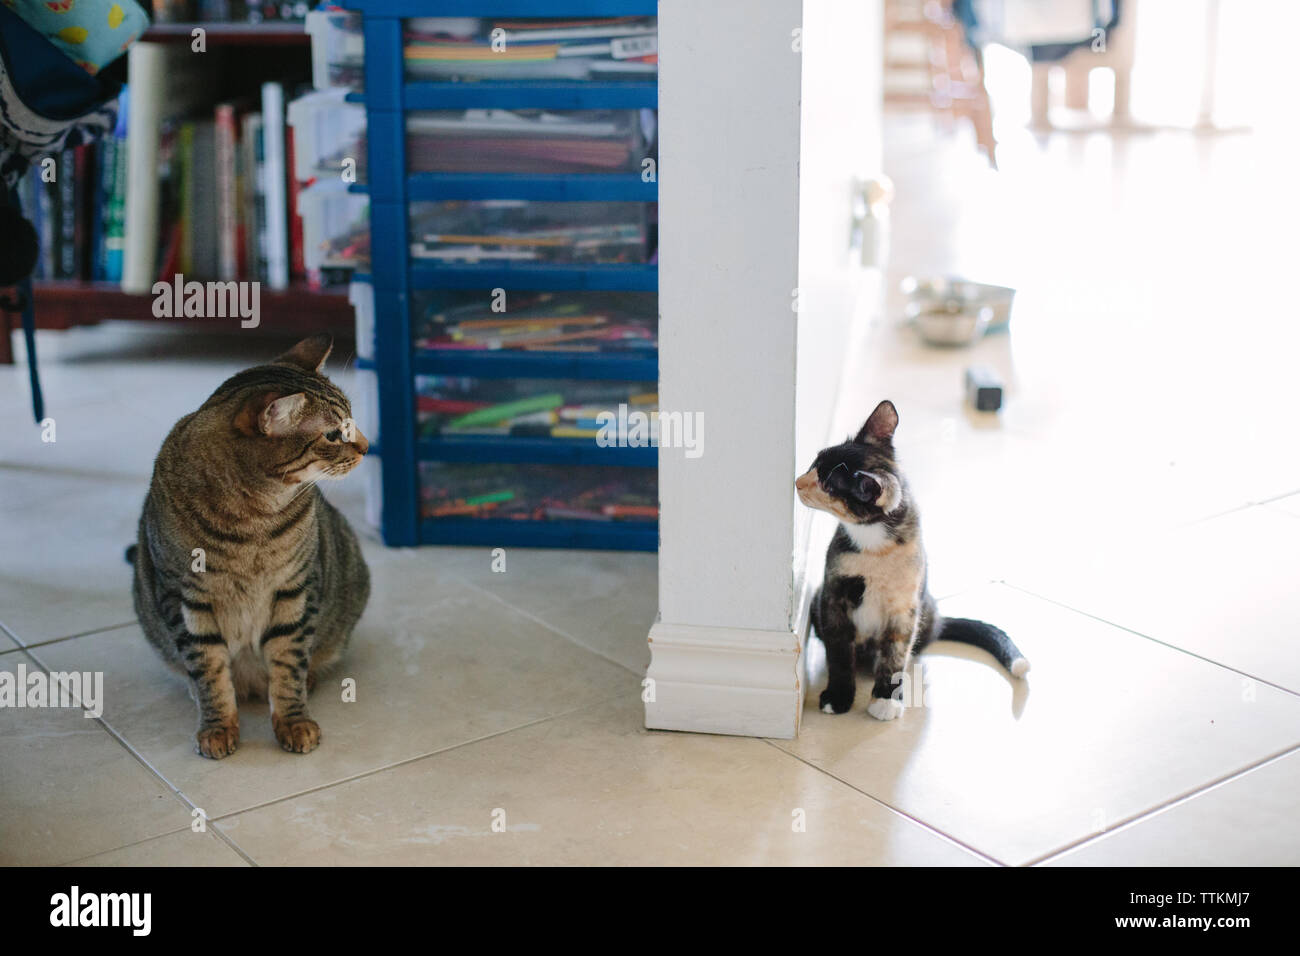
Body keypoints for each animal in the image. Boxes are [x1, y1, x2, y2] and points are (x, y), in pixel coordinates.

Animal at [130, 335, 371, 764]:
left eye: (351, 424)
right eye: (333, 434)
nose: (367, 446)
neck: (251, 522)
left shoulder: (295, 588)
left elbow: (288, 665)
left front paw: (294, 721)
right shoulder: (183, 599)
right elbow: (209, 673)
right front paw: (217, 726)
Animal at [790, 400, 1024, 723]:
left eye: (828, 486)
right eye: (816, 463)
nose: (798, 482)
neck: (873, 545)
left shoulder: (905, 607)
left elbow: (896, 652)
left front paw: (886, 698)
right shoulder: (833, 594)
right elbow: (839, 651)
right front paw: (838, 696)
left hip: (924, 610)